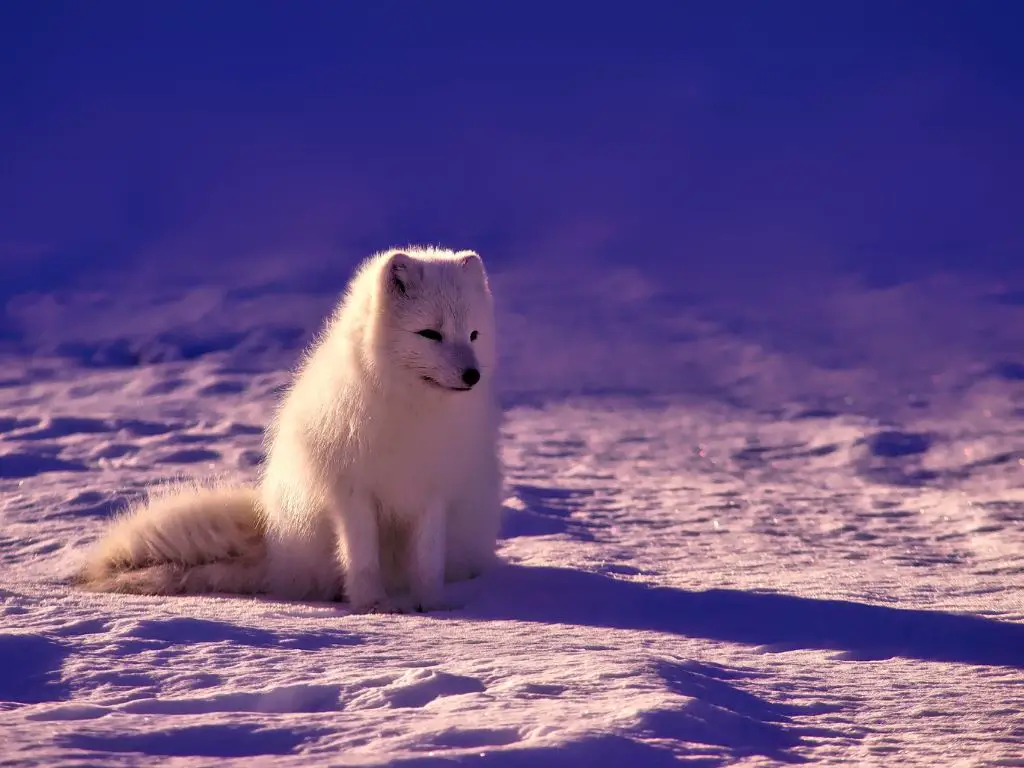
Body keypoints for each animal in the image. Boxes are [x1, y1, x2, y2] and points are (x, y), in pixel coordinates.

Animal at [74, 246, 505, 614]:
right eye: (430, 334)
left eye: (473, 335)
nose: (472, 375)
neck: (412, 411)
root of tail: (273, 545)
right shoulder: (352, 492)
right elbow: (362, 557)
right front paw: (373, 605)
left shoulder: (434, 492)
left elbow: (428, 561)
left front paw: (431, 605)